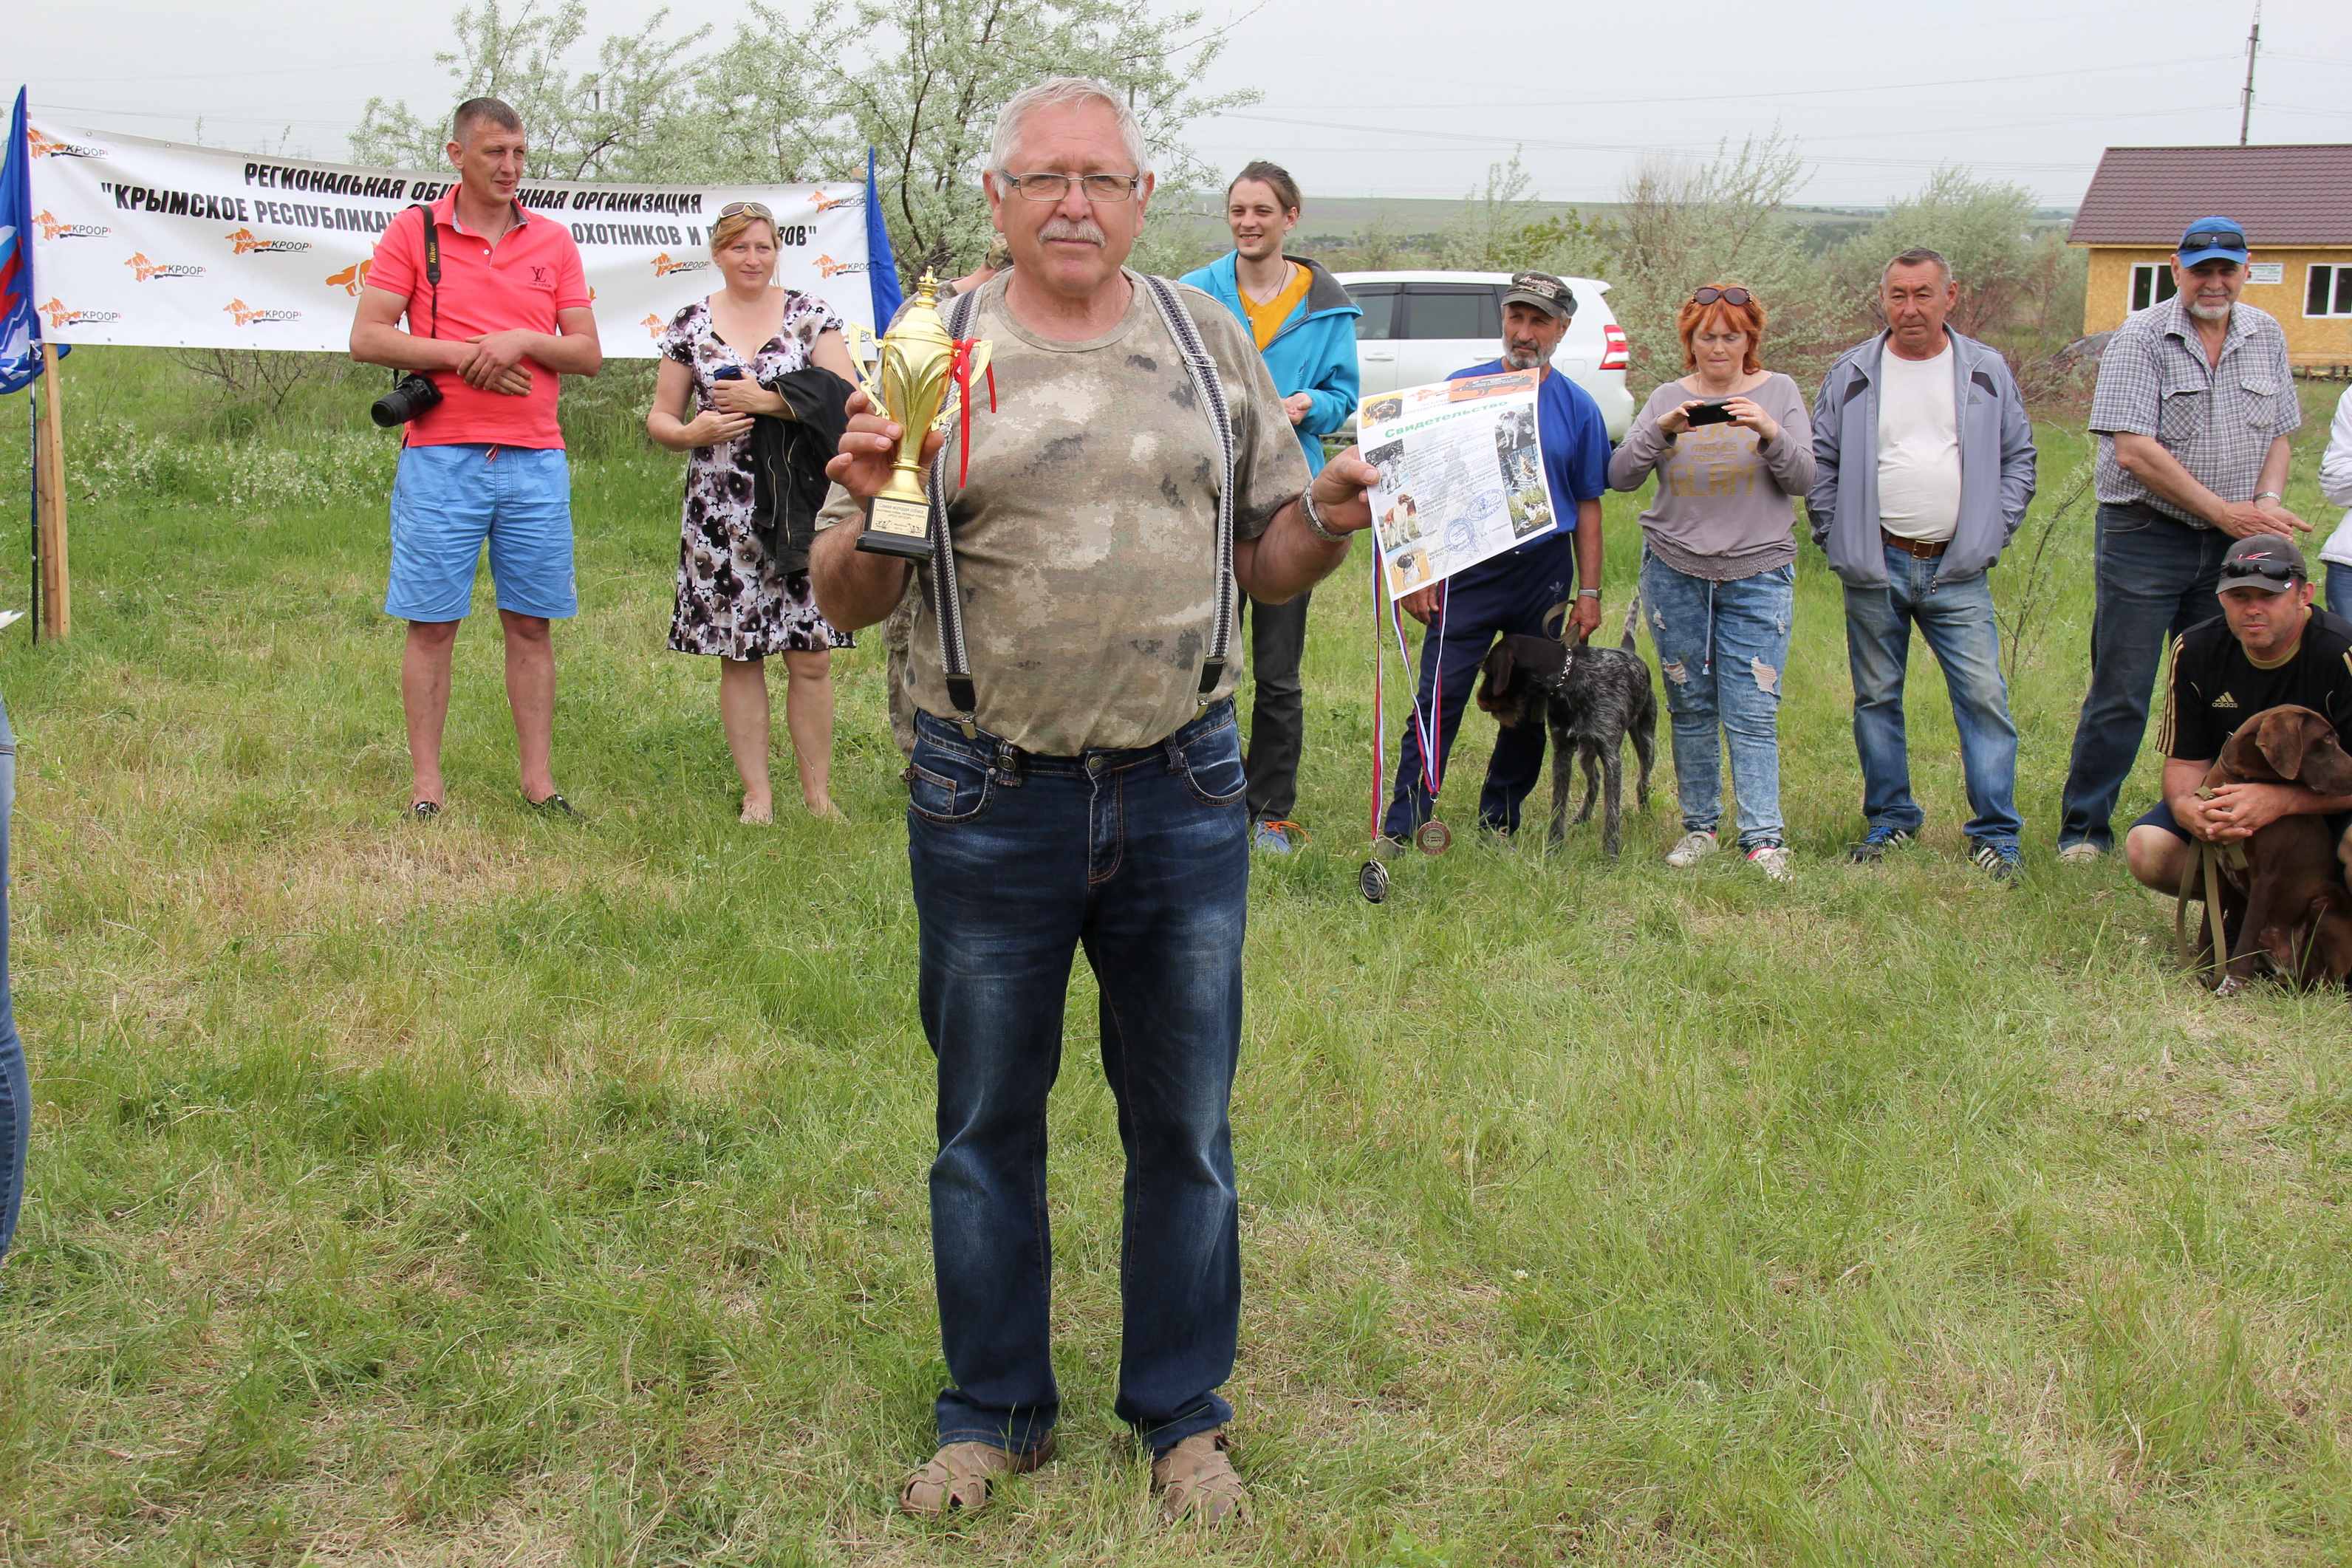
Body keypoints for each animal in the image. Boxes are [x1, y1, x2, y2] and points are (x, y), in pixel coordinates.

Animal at [1475, 626, 1656, 859]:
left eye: (1489, 672)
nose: (1480, 701)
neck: (1571, 679)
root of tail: (1628, 649)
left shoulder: (1611, 759)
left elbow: (1612, 811)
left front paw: (1611, 855)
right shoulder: (1562, 751)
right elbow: (1558, 805)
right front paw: (1554, 848)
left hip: (1646, 741)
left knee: (1643, 780)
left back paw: (1645, 814)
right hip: (1585, 751)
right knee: (1594, 780)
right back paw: (1583, 817)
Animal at [2181, 704, 2352, 995]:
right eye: (2327, 739)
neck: (2240, 779)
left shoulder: (2266, 877)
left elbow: (2246, 939)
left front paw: (2231, 985)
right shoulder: (2220, 870)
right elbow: (2209, 927)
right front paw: (2204, 971)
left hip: (2326, 902)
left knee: (2322, 983)